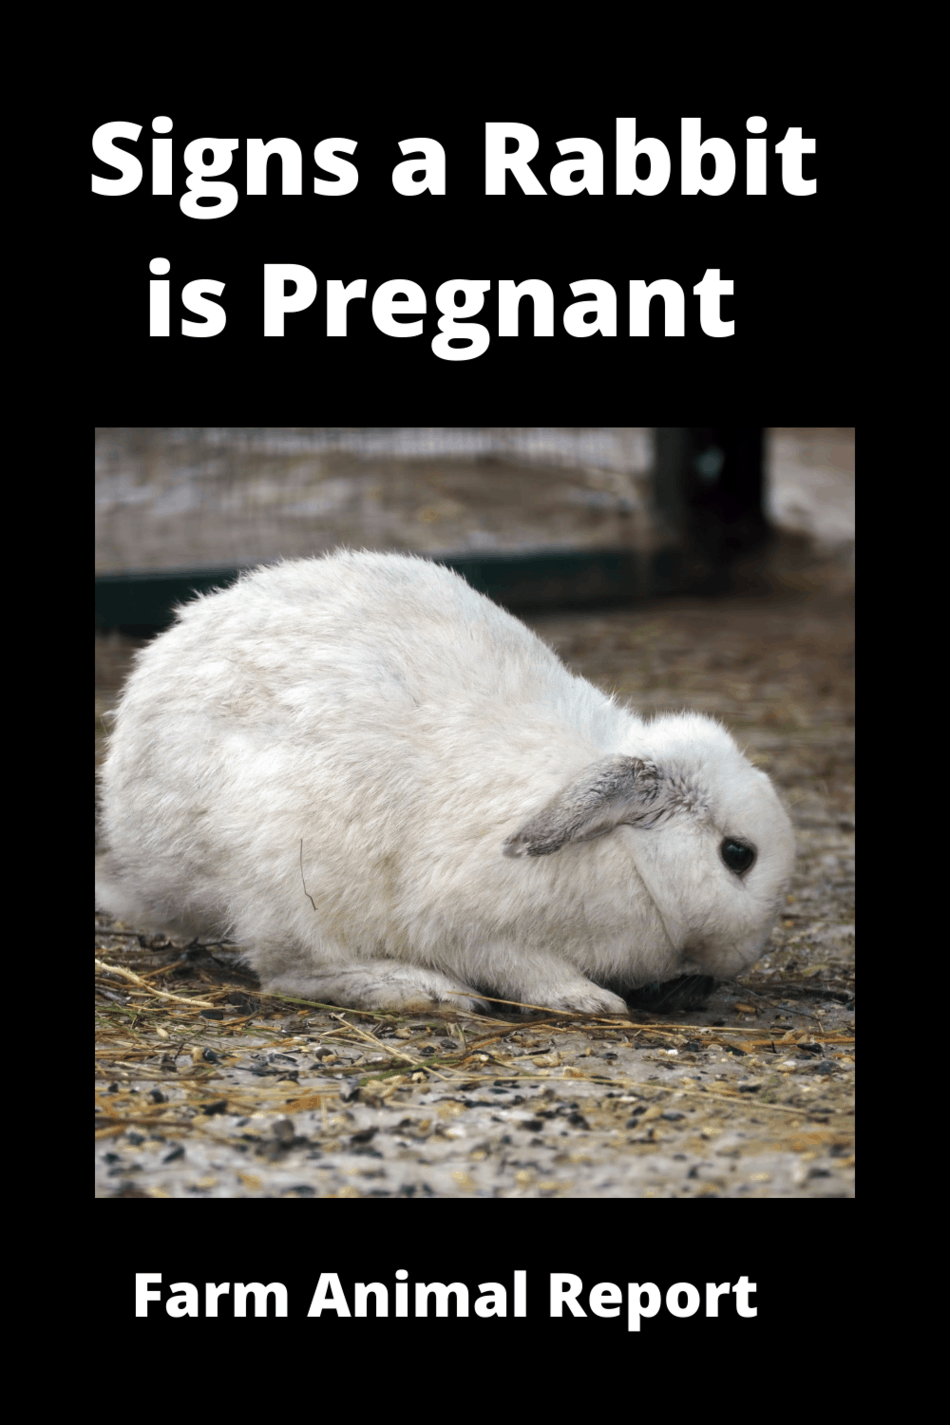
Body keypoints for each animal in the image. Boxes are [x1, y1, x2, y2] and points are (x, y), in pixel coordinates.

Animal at [96, 550, 795, 1016]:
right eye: (738, 855)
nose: (741, 958)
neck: (632, 856)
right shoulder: (476, 930)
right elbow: (527, 970)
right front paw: (589, 1001)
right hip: (285, 877)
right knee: (291, 971)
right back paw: (421, 989)